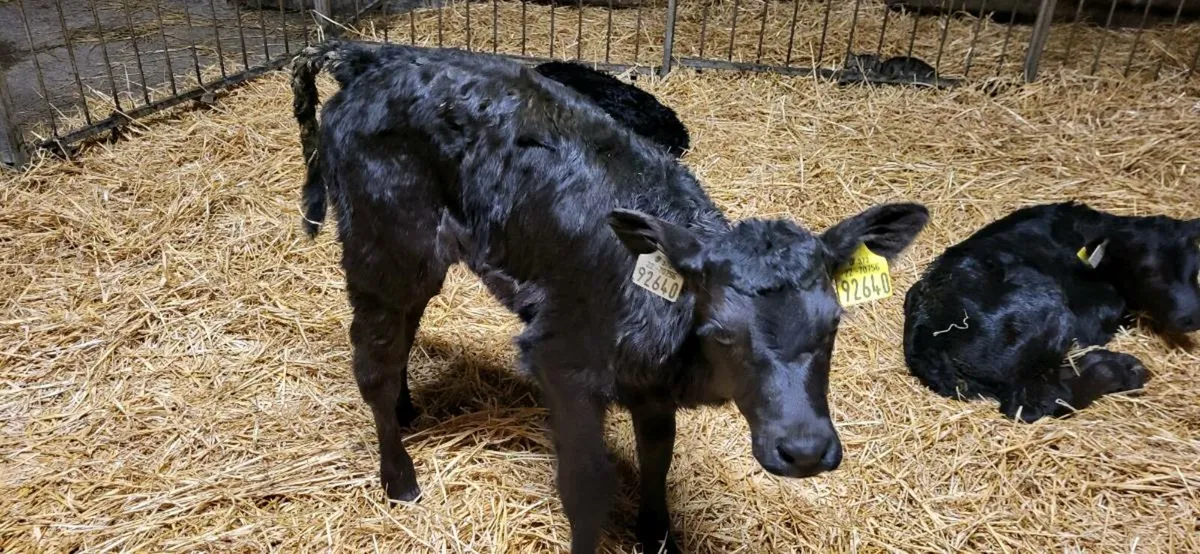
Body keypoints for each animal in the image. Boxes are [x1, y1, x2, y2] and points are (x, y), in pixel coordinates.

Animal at [291, 41, 929, 553]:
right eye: (722, 331)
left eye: (833, 325)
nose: (804, 451)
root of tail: (365, 57)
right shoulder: (562, 361)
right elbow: (585, 486)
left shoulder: (652, 388)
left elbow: (657, 455)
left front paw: (656, 533)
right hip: (385, 243)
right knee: (373, 359)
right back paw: (399, 476)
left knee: (402, 330)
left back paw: (407, 410)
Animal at [903, 202, 1200, 423]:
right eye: (1147, 270)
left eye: (1196, 271)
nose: (1192, 317)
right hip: (1050, 311)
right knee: (1030, 402)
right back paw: (1125, 370)